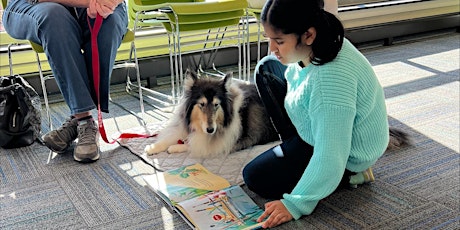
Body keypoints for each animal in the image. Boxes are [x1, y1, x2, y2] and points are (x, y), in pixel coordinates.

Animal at [144, 71, 278, 158]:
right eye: (202, 104)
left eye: (216, 104)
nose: (210, 130)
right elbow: (171, 136)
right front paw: (152, 147)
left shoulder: (225, 141)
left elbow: (195, 144)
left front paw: (174, 147)